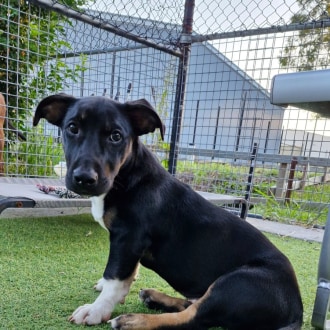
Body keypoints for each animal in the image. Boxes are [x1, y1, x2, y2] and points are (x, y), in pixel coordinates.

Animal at [32, 93, 302, 330]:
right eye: (72, 128)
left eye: (116, 136)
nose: (84, 179)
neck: (128, 174)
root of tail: (296, 312)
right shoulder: (130, 245)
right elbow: (127, 273)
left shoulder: (128, 237)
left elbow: (115, 277)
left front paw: (97, 309)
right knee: (192, 305)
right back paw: (155, 297)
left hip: (238, 281)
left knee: (194, 318)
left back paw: (133, 321)